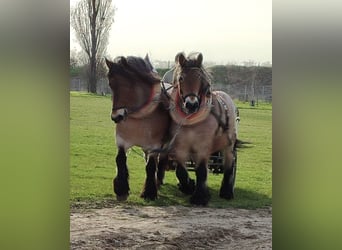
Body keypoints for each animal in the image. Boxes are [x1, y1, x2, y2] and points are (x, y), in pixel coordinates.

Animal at [105, 55, 170, 201]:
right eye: (111, 84)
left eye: (127, 85)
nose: (116, 117)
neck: (141, 117)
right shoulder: (122, 141)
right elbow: (120, 159)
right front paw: (121, 188)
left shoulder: (155, 145)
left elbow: (151, 166)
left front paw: (149, 192)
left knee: (160, 162)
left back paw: (158, 181)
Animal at [168, 51, 238, 206]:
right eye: (181, 78)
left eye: (199, 78)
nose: (191, 105)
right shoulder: (180, 145)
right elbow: (180, 170)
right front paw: (188, 186)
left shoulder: (203, 145)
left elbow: (201, 170)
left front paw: (200, 197)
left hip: (228, 143)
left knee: (229, 162)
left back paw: (227, 191)